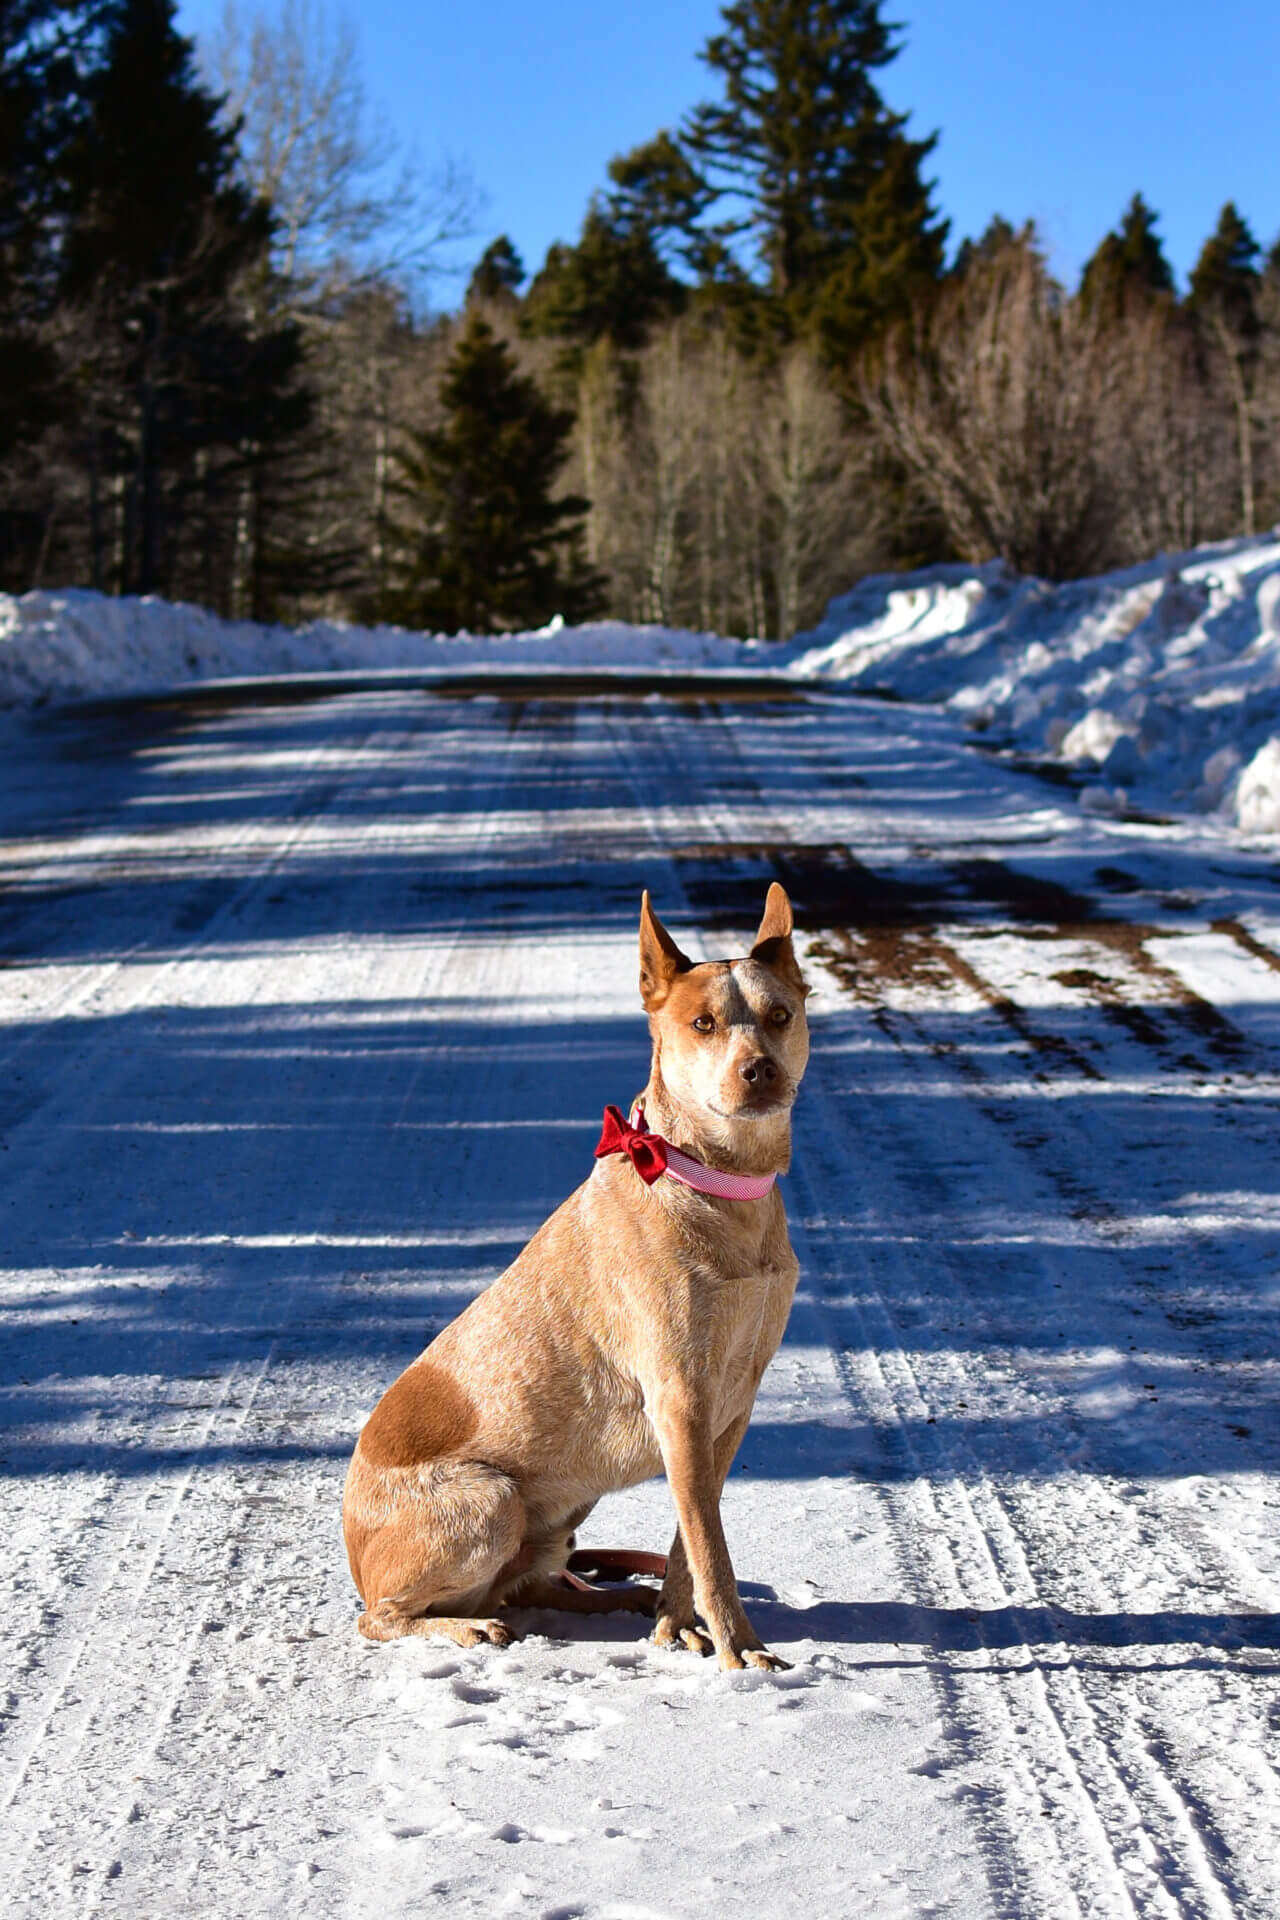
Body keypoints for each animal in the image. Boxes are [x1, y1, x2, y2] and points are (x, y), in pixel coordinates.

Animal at [339, 879, 809, 1666]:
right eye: (703, 1023)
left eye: (781, 1016)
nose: (760, 1071)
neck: (716, 1181)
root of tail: (353, 1551)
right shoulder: (680, 1401)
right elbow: (712, 1550)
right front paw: (739, 1648)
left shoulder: (728, 1410)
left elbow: (688, 1541)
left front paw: (676, 1623)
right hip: (489, 1499)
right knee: (382, 1617)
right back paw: (459, 1626)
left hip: (562, 1515)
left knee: (532, 1586)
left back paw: (617, 1600)